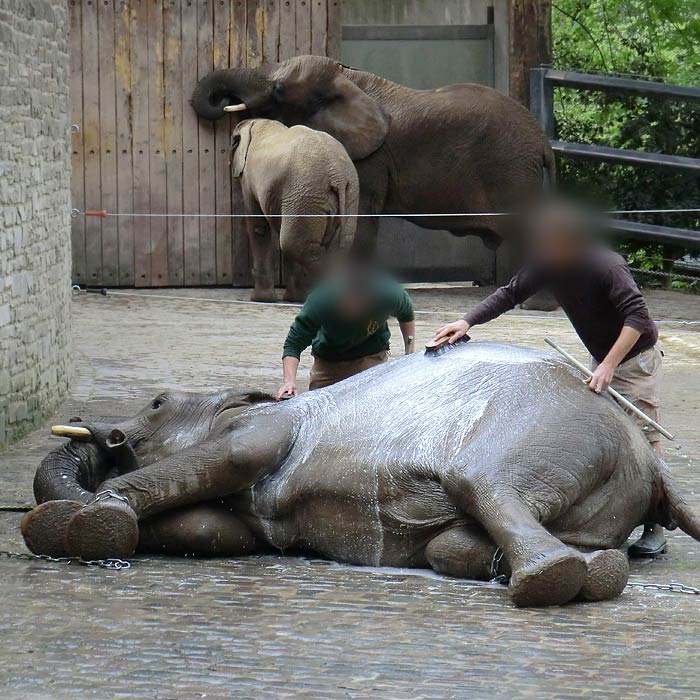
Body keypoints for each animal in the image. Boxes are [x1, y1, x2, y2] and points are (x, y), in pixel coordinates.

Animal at [20, 344, 700, 608]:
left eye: (158, 403)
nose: (100, 434)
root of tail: (651, 458)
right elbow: (216, 533)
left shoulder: (264, 428)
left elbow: (234, 458)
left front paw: (86, 520)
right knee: (456, 543)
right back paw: (588, 569)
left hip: (535, 430)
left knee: (483, 484)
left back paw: (552, 580)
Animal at [190, 55, 552, 254]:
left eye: (279, 90)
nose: (223, 101)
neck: (347, 77)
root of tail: (543, 141)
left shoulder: (370, 159)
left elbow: (361, 214)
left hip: (510, 170)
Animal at [231, 118, 358, 304]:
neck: (259, 122)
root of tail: (338, 176)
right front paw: (290, 299)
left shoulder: (249, 179)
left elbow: (259, 228)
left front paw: (261, 299)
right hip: (346, 195)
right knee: (340, 246)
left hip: (305, 194)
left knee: (293, 243)